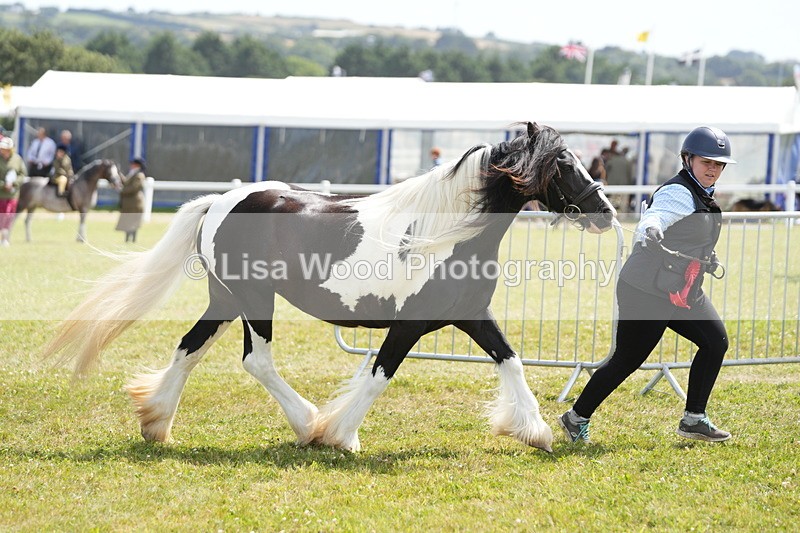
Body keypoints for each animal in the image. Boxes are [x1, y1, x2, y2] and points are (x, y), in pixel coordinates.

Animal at [44, 122, 616, 453]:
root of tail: (219, 201)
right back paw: (307, 426)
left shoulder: (472, 316)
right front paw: (342, 436)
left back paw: (156, 423)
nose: (607, 212)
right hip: (254, 300)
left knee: (189, 349)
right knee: (256, 360)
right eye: (563, 163)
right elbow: (380, 375)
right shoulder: (408, 325)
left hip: (226, 299)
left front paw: (535, 431)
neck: (445, 232)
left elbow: (512, 361)